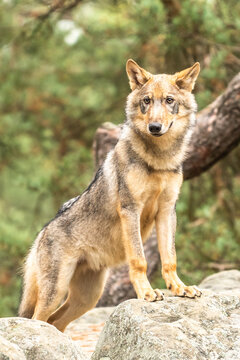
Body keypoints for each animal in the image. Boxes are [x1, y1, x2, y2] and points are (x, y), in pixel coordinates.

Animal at [19, 59, 202, 332]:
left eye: (169, 100)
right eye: (147, 101)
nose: (154, 127)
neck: (158, 160)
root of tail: (42, 232)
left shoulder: (167, 210)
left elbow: (170, 258)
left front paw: (179, 288)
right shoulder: (131, 209)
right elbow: (139, 260)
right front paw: (147, 293)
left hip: (87, 298)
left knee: (55, 323)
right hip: (56, 293)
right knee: (37, 320)